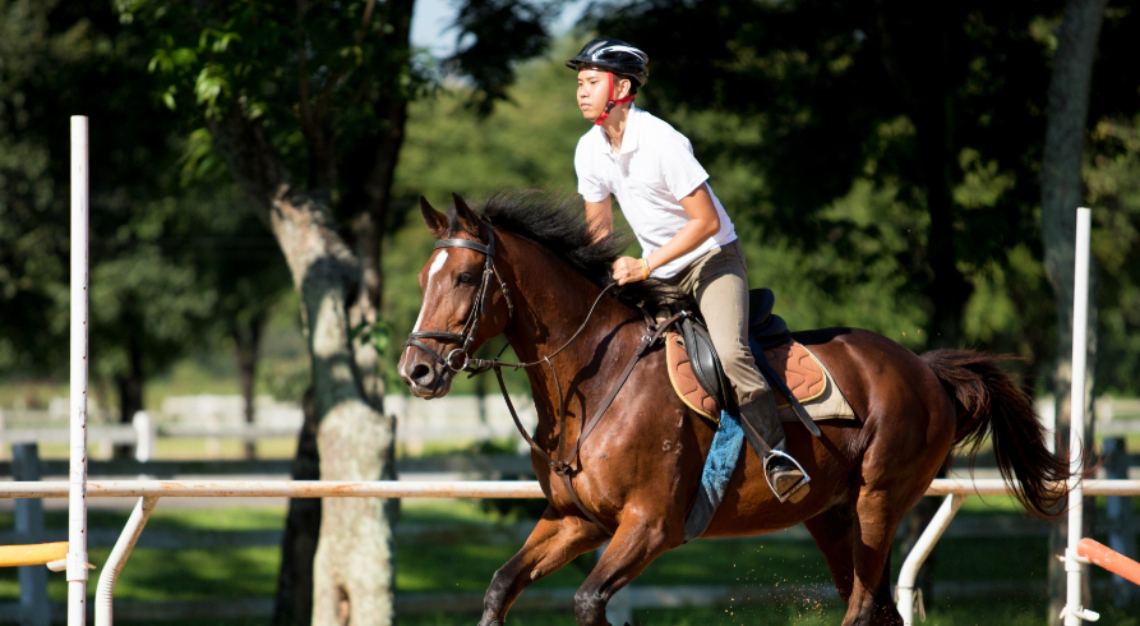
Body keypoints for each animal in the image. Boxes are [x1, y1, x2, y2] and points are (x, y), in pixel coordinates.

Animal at [399, 193, 1067, 624]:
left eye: (464, 278)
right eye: (422, 278)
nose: (416, 370)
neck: (595, 377)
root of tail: (926, 370)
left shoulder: (651, 526)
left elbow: (588, 602)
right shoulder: (577, 520)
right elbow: (500, 586)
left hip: (878, 501)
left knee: (861, 609)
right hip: (831, 515)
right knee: (876, 608)